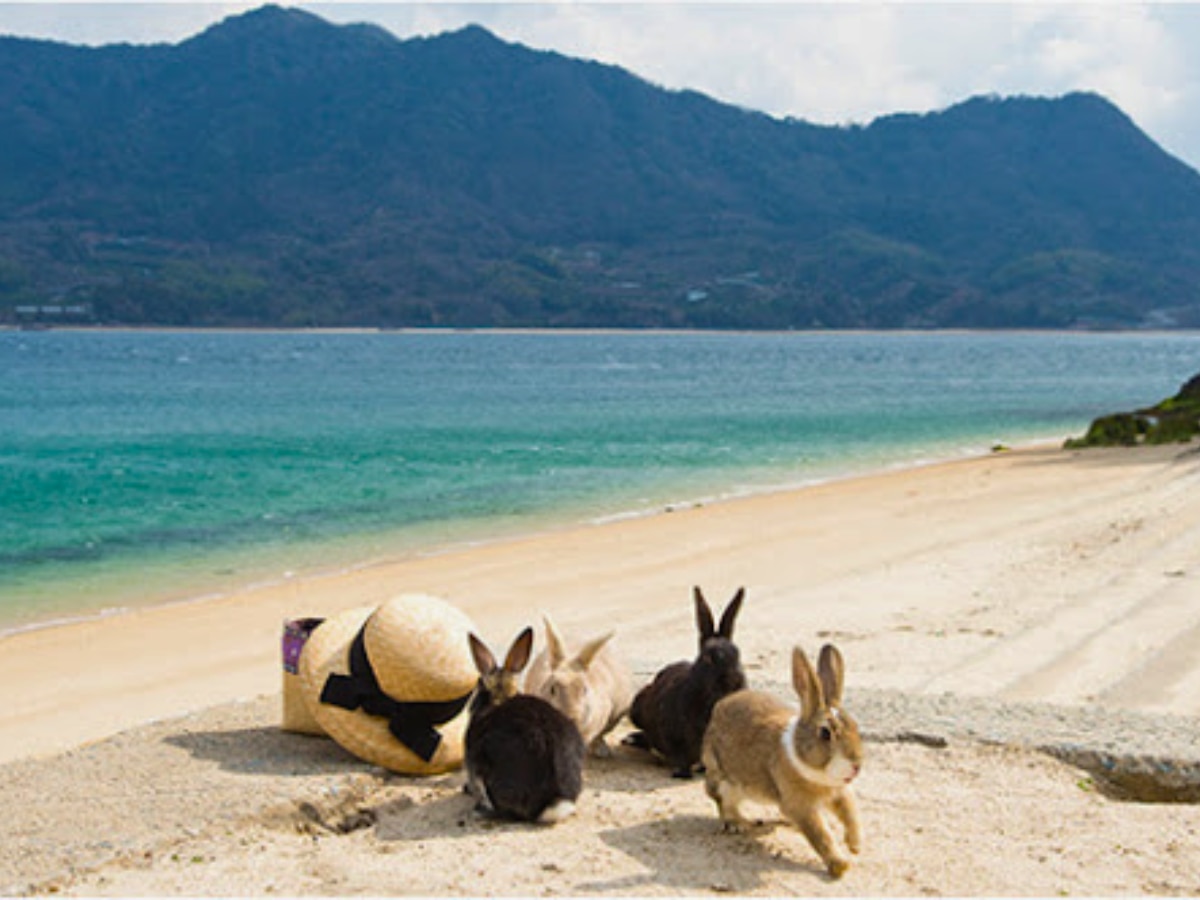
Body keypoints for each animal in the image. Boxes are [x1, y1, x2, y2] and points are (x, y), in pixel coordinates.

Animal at [626, 586, 747, 778]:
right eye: (707, 658)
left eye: (738, 654)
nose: (734, 682)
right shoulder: (673, 736)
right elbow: (679, 756)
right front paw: (682, 774)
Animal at [700, 643, 864, 879]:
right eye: (825, 733)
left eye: (855, 726)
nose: (856, 765)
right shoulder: (801, 807)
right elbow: (821, 835)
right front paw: (839, 865)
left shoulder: (840, 793)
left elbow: (850, 815)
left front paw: (855, 846)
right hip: (724, 781)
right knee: (724, 804)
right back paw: (739, 824)